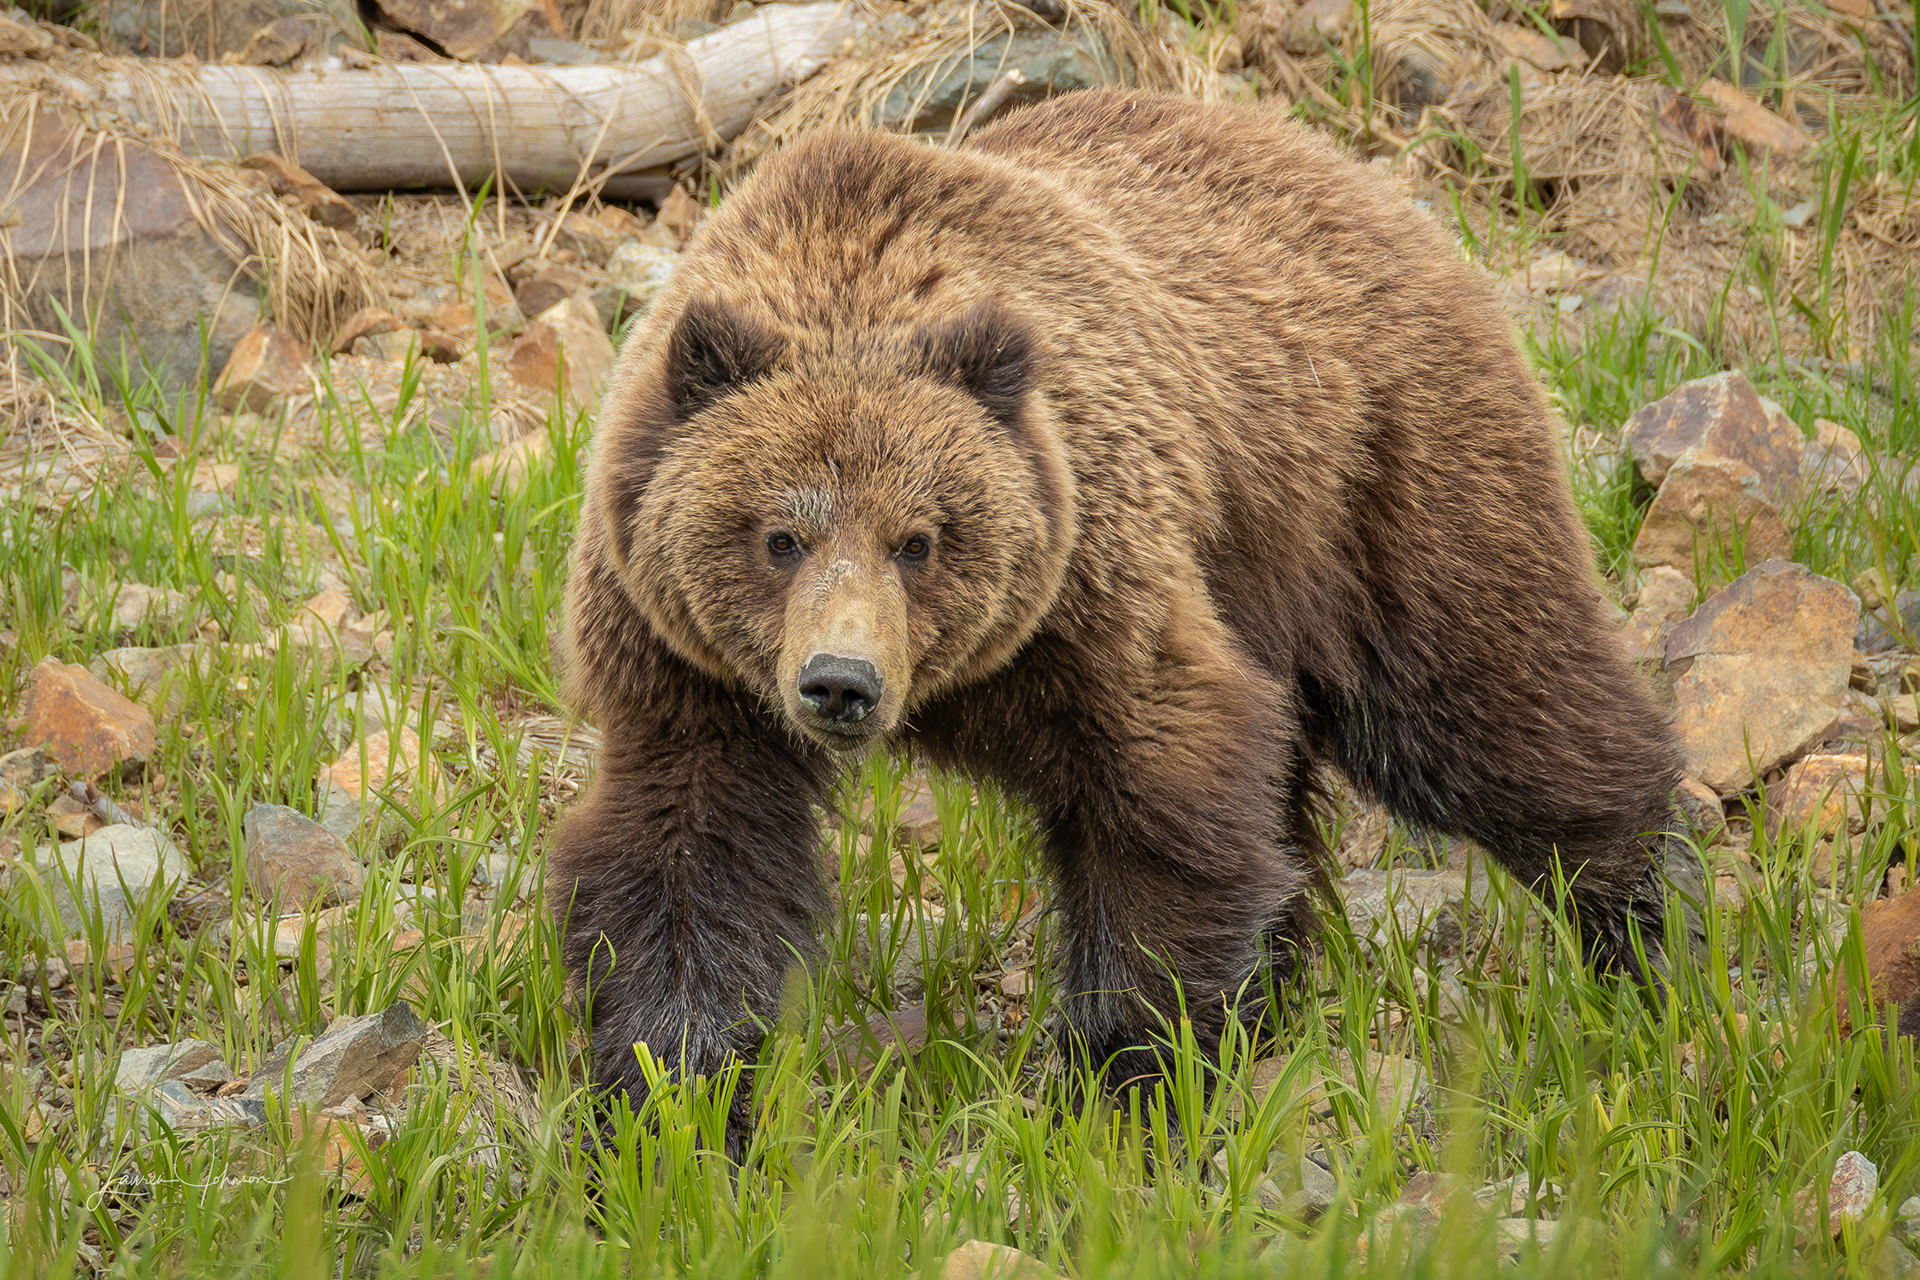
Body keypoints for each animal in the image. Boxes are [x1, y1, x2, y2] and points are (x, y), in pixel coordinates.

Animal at [553, 88, 1693, 1152]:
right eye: (779, 534)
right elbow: (692, 860)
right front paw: (672, 1107)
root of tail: (1362, 177)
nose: (842, 681)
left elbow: (1163, 808)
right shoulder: (686, 666)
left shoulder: (1093, 588)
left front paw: (1130, 1083)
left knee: (1492, 711)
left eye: (919, 538)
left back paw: (1652, 935)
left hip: (1377, 490)